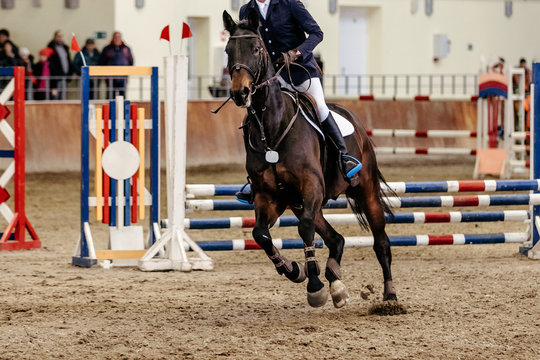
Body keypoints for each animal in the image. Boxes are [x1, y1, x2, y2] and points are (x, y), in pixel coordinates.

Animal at [223, 10, 396, 310]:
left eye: (256, 49)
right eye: (228, 51)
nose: (239, 93)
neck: (272, 128)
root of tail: (355, 121)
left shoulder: (311, 184)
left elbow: (304, 229)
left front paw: (315, 286)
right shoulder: (268, 195)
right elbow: (260, 234)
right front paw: (294, 270)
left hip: (365, 190)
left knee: (380, 242)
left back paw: (390, 296)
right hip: (300, 202)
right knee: (336, 239)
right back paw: (336, 284)